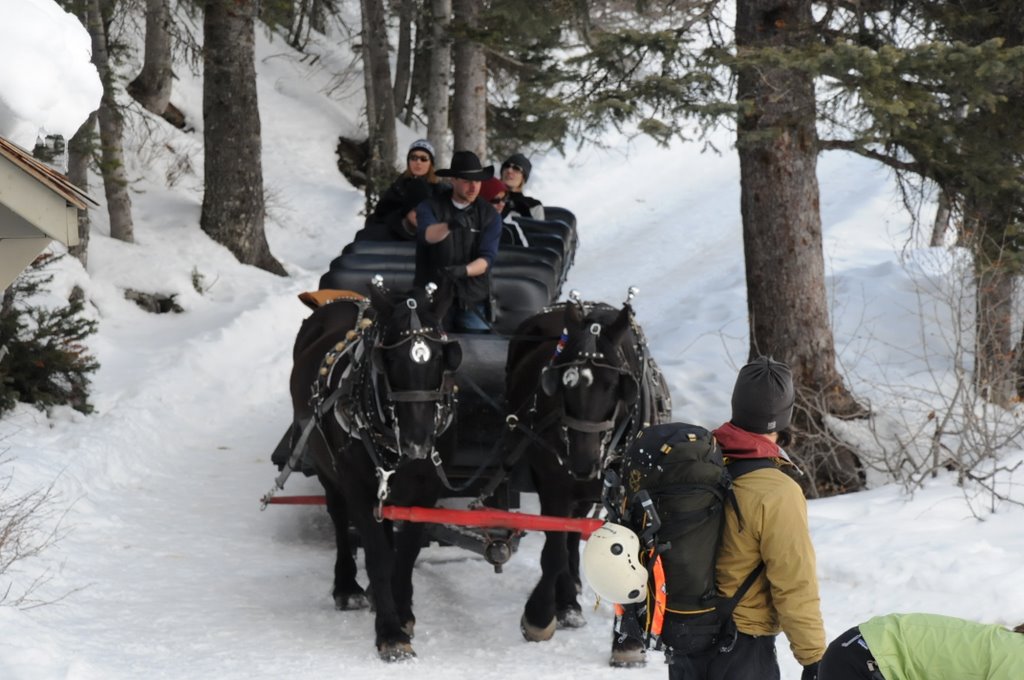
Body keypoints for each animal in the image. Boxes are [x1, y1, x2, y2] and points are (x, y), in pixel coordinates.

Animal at [290, 280, 462, 659]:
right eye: (390, 360)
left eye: (442, 358)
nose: (418, 442)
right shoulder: (358, 488)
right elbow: (379, 556)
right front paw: (391, 633)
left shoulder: (425, 492)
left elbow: (407, 552)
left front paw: (403, 611)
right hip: (328, 470)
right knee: (341, 521)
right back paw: (347, 587)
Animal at [501, 290, 671, 663]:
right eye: (563, 384)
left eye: (615, 385)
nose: (583, 462)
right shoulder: (555, 484)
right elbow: (552, 550)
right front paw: (539, 617)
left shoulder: (625, 490)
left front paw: (627, 641)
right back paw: (565, 602)